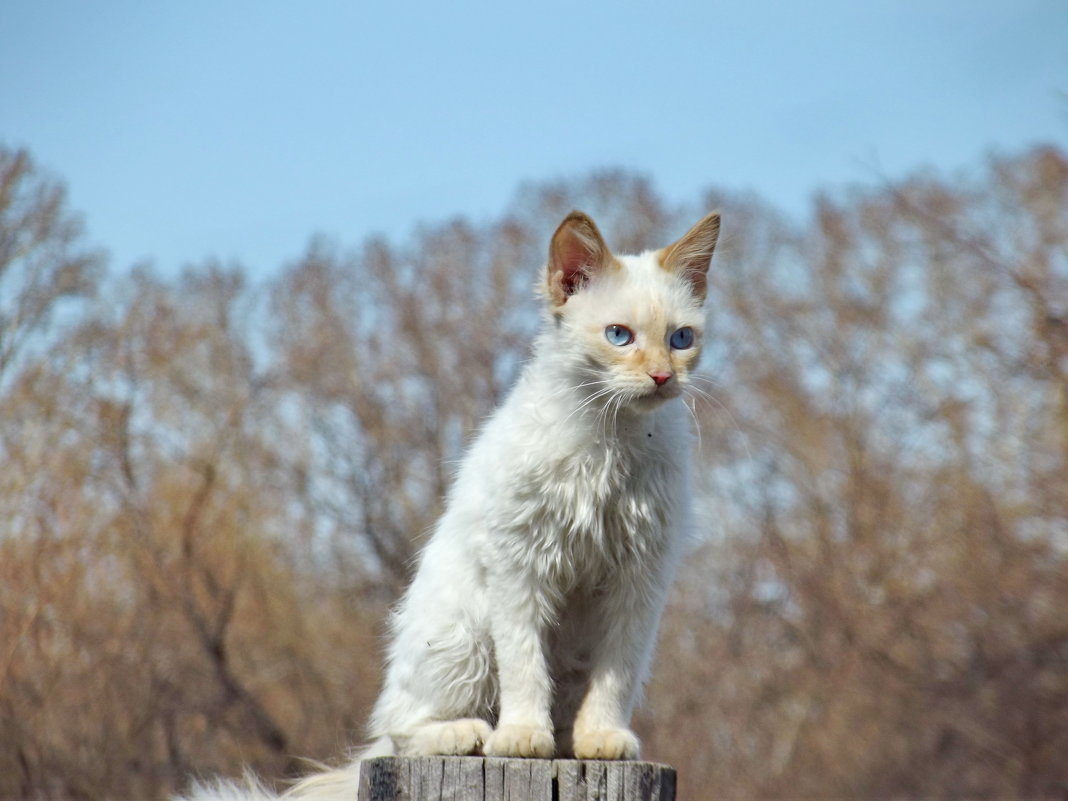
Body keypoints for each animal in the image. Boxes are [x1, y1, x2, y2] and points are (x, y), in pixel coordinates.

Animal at [183, 208, 721, 801]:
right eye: (619, 336)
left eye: (681, 338)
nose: (663, 377)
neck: (612, 436)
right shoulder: (520, 566)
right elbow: (525, 663)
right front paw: (522, 738)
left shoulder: (639, 580)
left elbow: (615, 674)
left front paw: (602, 738)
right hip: (464, 634)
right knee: (401, 729)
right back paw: (474, 735)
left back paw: (562, 739)